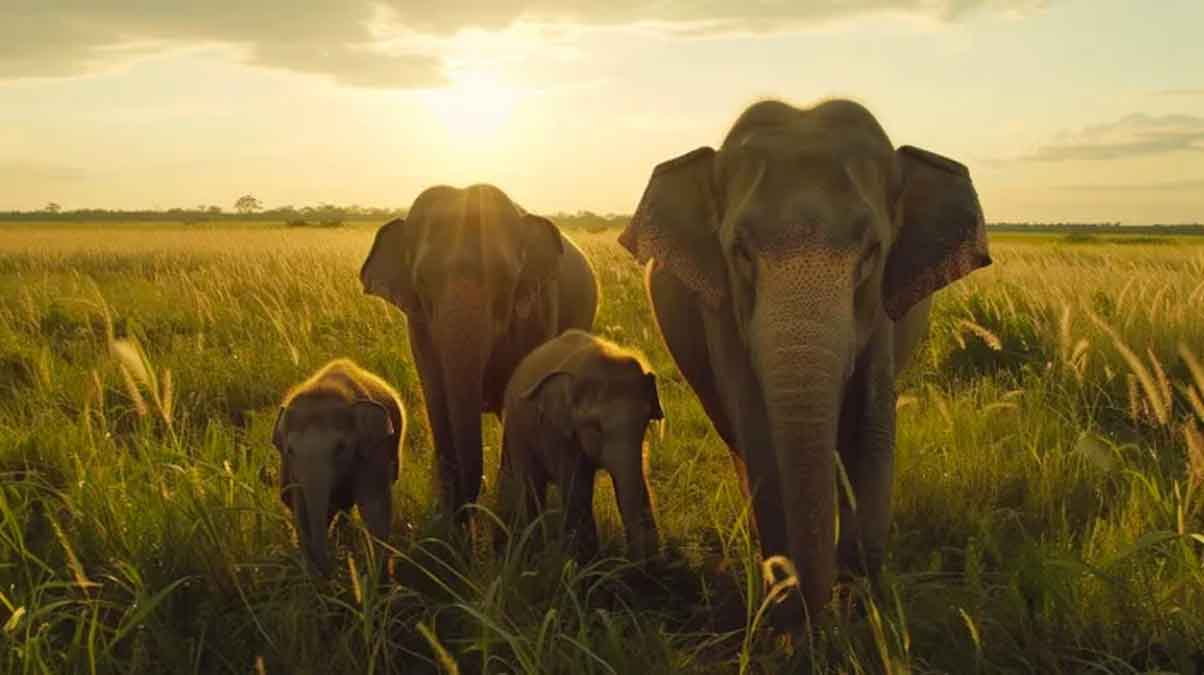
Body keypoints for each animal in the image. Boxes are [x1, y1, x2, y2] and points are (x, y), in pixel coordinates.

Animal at [272, 358, 405, 574]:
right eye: (290, 451)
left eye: (340, 448)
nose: (333, 565)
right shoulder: (290, 468)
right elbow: (298, 505)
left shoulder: (373, 452)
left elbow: (374, 505)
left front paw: (377, 576)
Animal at [359, 184, 599, 519]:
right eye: (422, 281)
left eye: (506, 281)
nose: (470, 508)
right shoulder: (418, 325)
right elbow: (436, 396)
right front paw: (449, 518)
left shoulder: (539, 310)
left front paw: (510, 514)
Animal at [498, 329, 664, 559]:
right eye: (596, 427)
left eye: (644, 423)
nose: (635, 561)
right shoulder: (559, 434)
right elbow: (578, 490)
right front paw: (587, 562)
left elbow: (637, 479)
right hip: (516, 429)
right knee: (530, 485)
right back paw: (534, 549)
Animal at [618, 98, 990, 619]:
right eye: (739, 251)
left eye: (872, 251)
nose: (817, 611)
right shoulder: (723, 313)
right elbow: (760, 438)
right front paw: (790, 616)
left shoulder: (880, 316)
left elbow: (872, 434)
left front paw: (861, 615)